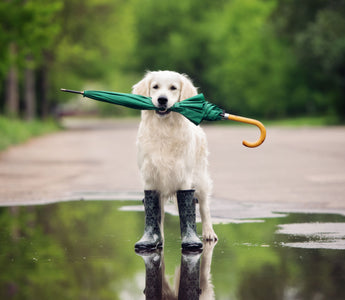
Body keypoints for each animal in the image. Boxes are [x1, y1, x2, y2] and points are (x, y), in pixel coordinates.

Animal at [132, 70, 218, 241]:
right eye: (155, 87)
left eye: (173, 88)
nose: (162, 99)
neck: (164, 128)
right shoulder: (150, 177)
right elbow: (156, 214)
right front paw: (155, 239)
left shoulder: (184, 177)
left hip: (200, 178)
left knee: (204, 206)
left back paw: (208, 232)